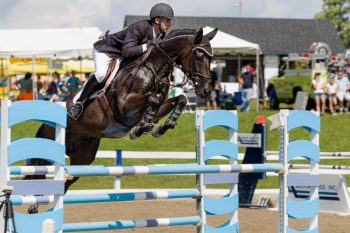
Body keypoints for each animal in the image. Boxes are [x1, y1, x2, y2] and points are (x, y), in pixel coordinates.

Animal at [27, 27, 217, 209]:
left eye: (211, 57)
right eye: (199, 55)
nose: (206, 91)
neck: (153, 69)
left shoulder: (158, 106)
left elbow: (179, 100)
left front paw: (161, 126)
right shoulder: (123, 107)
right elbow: (152, 100)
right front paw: (141, 128)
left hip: (83, 156)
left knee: (68, 179)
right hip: (52, 142)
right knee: (38, 168)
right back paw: (34, 203)